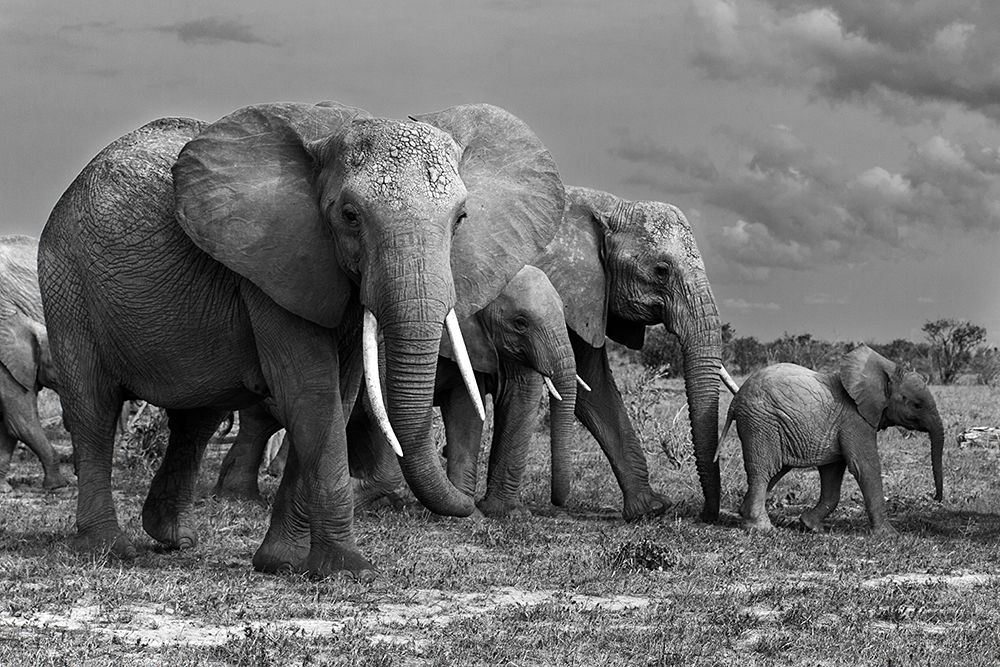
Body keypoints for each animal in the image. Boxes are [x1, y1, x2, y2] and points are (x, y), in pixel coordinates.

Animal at [214, 264, 581, 518]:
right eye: (520, 322)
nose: (558, 503)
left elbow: (466, 412)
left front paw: (470, 513)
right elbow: (382, 408)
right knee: (264, 420)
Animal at [534, 187, 729, 522]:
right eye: (661, 271)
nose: (705, 515)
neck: (605, 207)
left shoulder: (586, 294)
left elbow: (593, 386)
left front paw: (651, 509)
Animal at [718, 345, 945, 534]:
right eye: (917, 405)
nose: (936, 498)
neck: (885, 371)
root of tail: (735, 401)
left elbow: (832, 472)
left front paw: (811, 526)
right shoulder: (855, 420)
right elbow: (864, 467)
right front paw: (889, 535)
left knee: (775, 470)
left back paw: (745, 513)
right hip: (761, 423)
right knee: (763, 469)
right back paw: (763, 528)